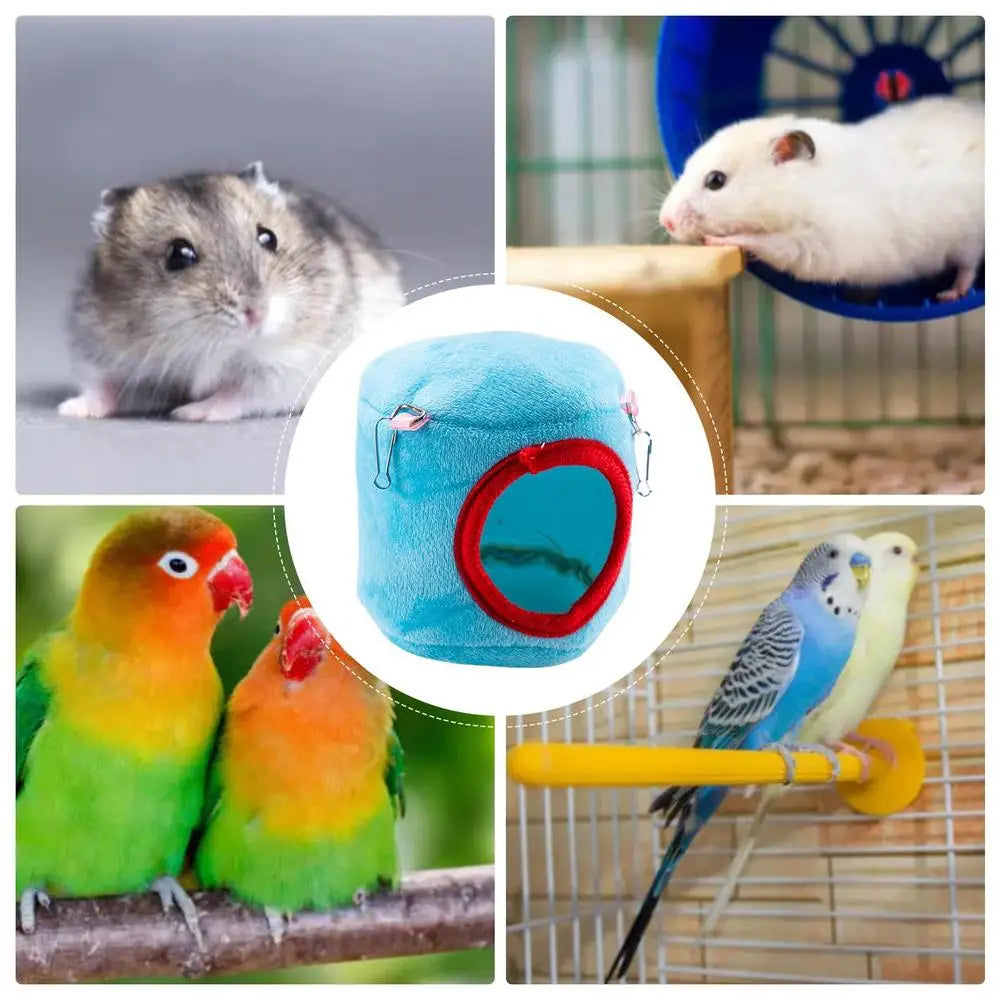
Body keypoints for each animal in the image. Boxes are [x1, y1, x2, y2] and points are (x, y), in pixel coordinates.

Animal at [59, 162, 404, 421]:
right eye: (178, 255)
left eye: (268, 238)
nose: (257, 314)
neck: (210, 347)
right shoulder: (102, 350)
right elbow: (104, 386)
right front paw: (70, 409)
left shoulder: (288, 366)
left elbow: (238, 393)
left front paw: (189, 412)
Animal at [659, 96, 984, 300]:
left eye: (716, 181)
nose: (666, 221)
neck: (804, 189)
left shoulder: (820, 244)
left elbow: (767, 244)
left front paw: (717, 239)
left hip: (967, 238)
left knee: (968, 266)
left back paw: (949, 294)